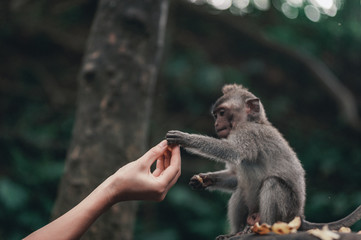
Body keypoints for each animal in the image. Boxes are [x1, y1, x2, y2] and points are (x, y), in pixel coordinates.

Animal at [167, 84, 360, 238]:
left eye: (221, 113)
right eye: (215, 115)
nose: (216, 124)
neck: (255, 121)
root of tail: (300, 217)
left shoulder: (247, 132)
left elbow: (233, 151)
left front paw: (187, 139)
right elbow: (235, 176)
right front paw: (204, 180)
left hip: (286, 213)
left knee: (272, 183)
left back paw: (266, 228)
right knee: (241, 188)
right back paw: (235, 232)